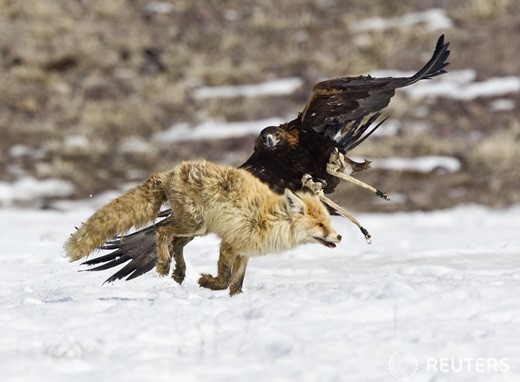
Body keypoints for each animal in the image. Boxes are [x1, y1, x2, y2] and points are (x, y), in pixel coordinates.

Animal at [65, 160, 342, 296]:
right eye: (319, 224)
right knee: (162, 232)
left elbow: (236, 285)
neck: (269, 220)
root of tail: (169, 173)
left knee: (175, 240)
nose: (339, 236)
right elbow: (225, 278)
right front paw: (208, 283)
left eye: (328, 222)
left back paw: (179, 272)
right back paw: (165, 265)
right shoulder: (229, 244)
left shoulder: (244, 252)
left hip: (198, 229)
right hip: (194, 224)